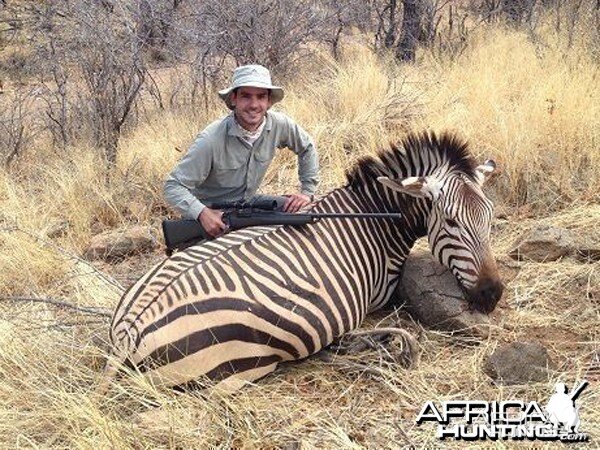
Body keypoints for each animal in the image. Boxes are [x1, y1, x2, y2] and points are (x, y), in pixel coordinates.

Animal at [101, 131, 504, 394]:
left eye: (489, 214)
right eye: (450, 222)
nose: (492, 294)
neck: (375, 216)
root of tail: (126, 334)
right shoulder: (383, 295)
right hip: (245, 364)